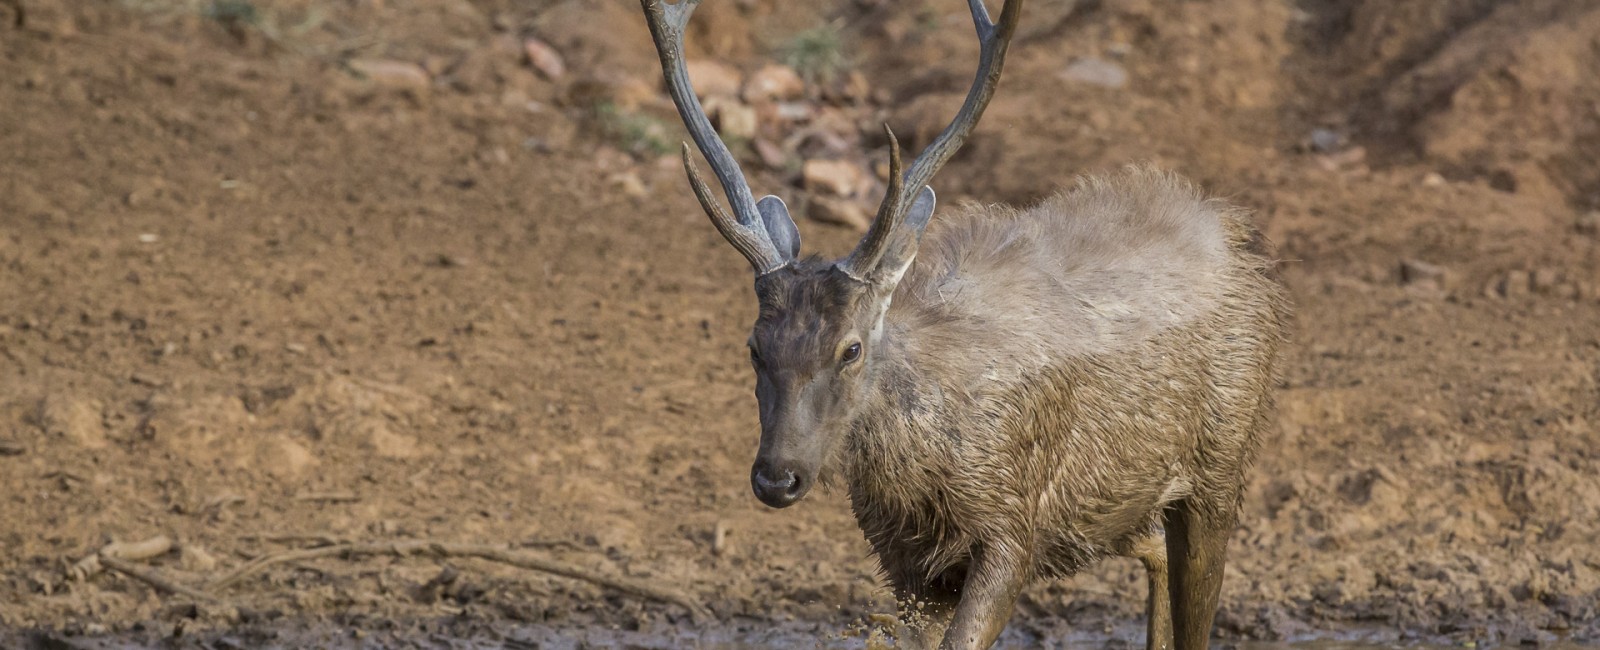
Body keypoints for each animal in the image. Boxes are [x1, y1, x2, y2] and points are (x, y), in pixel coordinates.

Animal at [636, 2, 1286, 646]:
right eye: (753, 346)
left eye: (851, 349)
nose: (777, 478)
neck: (926, 473)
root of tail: (1237, 235)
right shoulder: (903, 558)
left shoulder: (1013, 524)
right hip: (1120, 503)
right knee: (1154, 556)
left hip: (1221, 465)